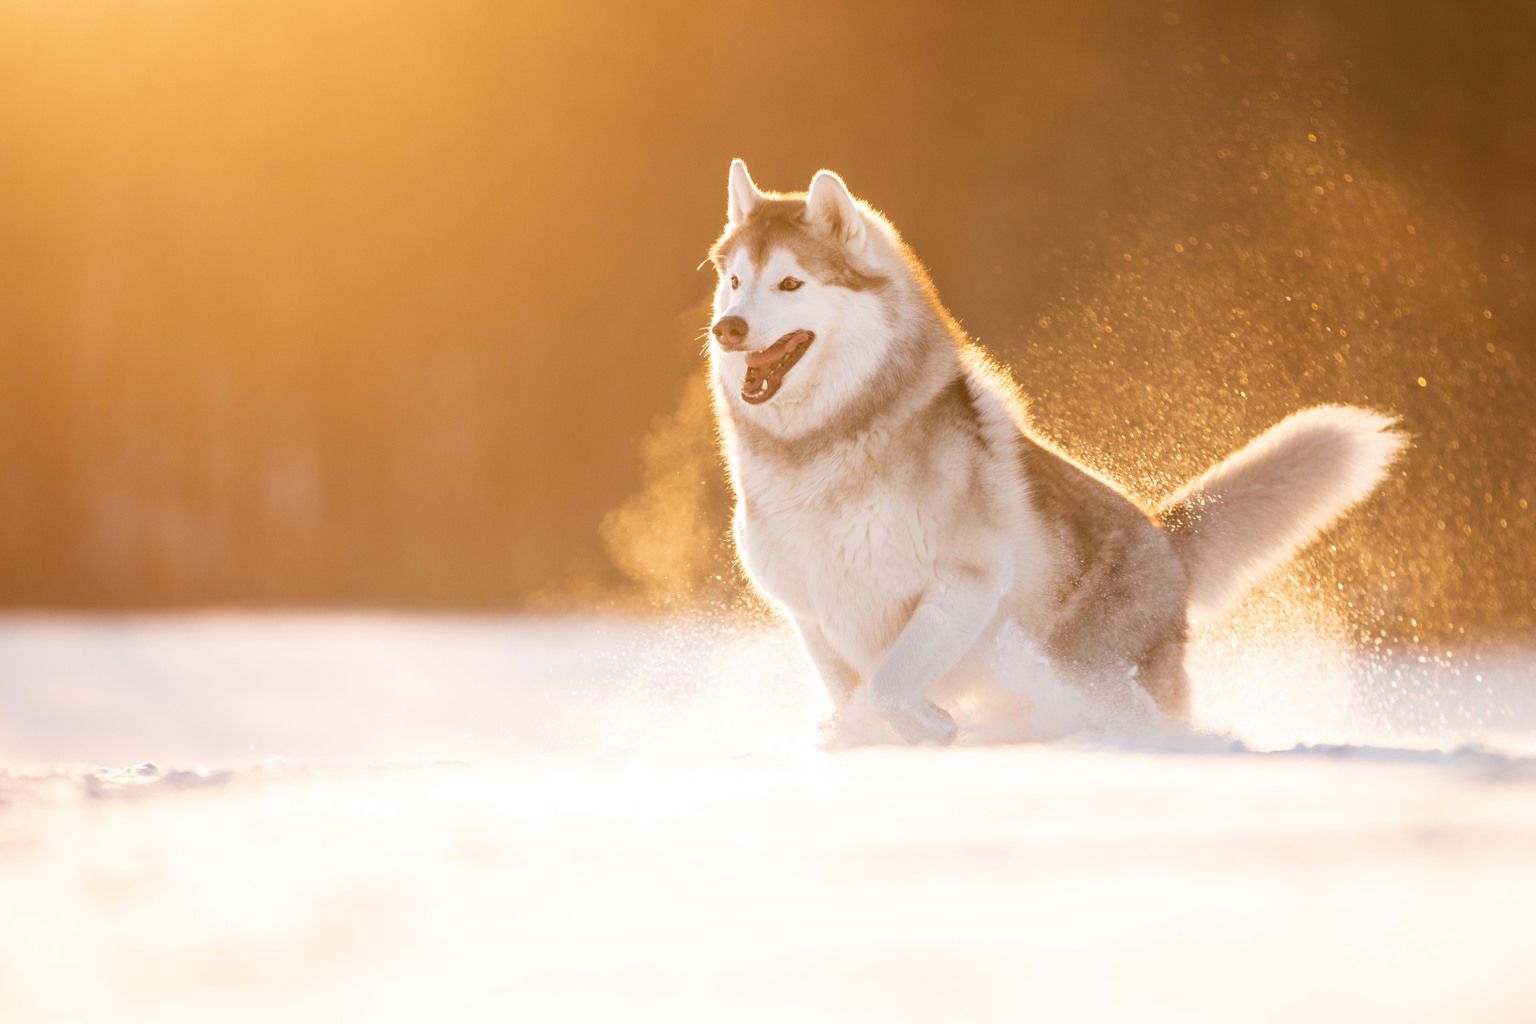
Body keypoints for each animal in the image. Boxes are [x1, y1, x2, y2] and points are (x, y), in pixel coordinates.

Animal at [706, 161, 1406, 746]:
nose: (728, 328)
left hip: (1092, 671)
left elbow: (888, 687)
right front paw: (865, 738)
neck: (820, 447)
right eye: (735, 282)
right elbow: (857, 698)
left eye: (790, 282)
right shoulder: (813, 615)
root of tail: (1164, 540)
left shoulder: (965, 584)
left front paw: (929, 726)